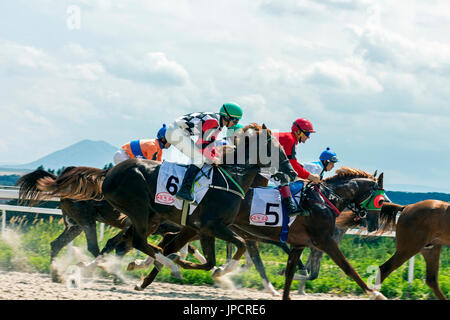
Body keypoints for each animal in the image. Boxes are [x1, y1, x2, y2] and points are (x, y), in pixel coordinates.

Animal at [34, 125, 296, 280]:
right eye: (276, 148)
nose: (291, 172)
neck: (229, 178)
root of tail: (108, 173)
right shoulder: (212, 225)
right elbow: (240, 244)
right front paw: (223, 270)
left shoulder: (202, 228)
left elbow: (213, 258)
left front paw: (215, 268)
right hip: (135, 210)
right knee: (135, 242)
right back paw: (168, 263)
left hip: (146, 217)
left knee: (123, 243)